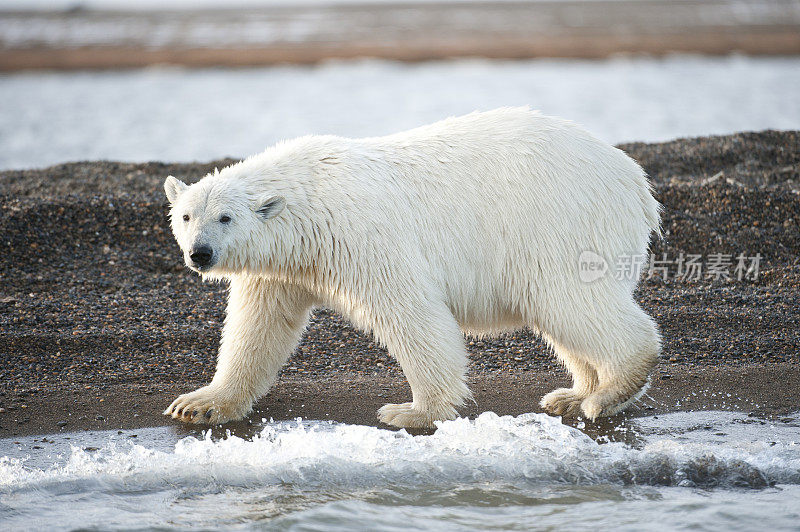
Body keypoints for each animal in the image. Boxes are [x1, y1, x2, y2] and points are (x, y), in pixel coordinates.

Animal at [162, 107, 664, 428]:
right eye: (186, 215)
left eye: (225, 217)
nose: (200, 253)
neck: (310, 197)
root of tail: (635, 181)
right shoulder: (280, 267)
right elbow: (259, 326)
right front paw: (199, 403)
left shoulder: (361, 236)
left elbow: (411, 312)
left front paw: (413, 411)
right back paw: (573, 394)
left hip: (558, 223)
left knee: (567, 300)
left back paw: (608, 393)